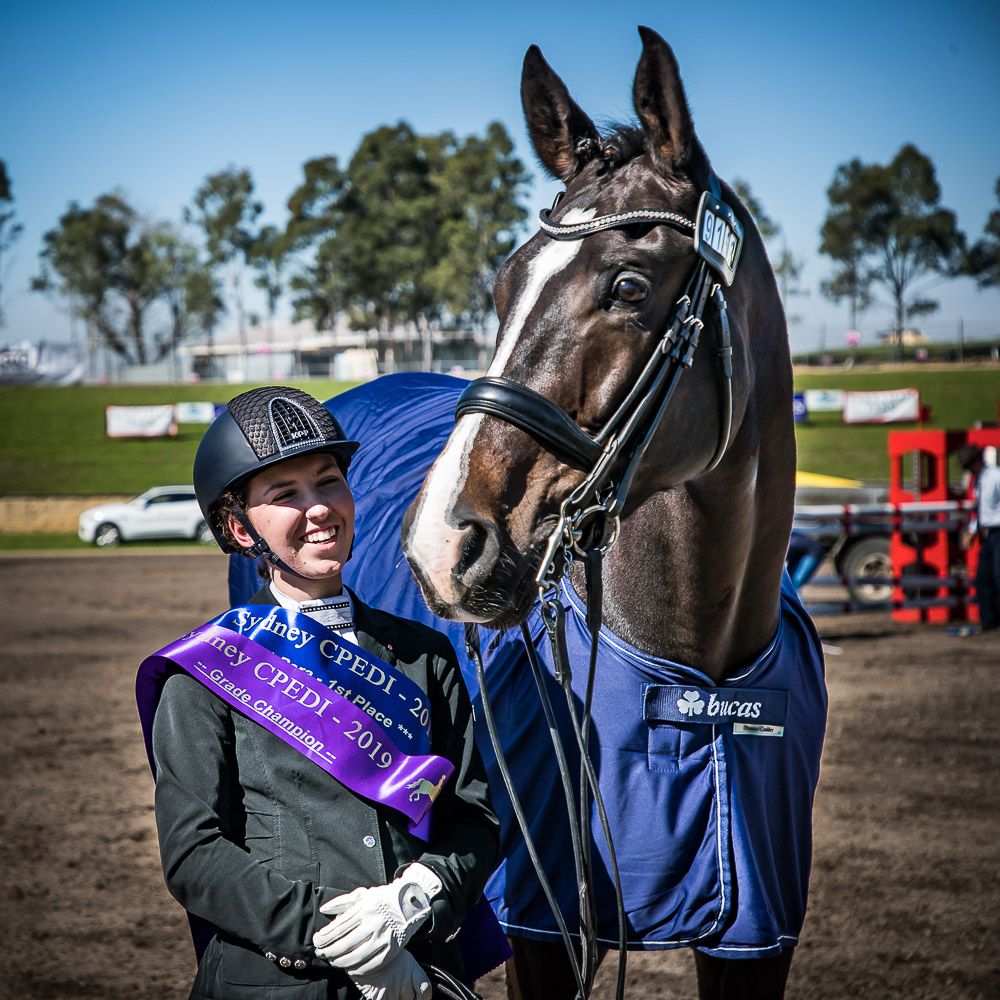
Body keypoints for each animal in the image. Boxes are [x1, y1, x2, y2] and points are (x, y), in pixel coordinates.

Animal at [400, 27, 828, 1000]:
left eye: (630, 286)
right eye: (501, 288)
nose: (444, 542)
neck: (701, 676)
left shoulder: (758, 936)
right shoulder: (545, 928)